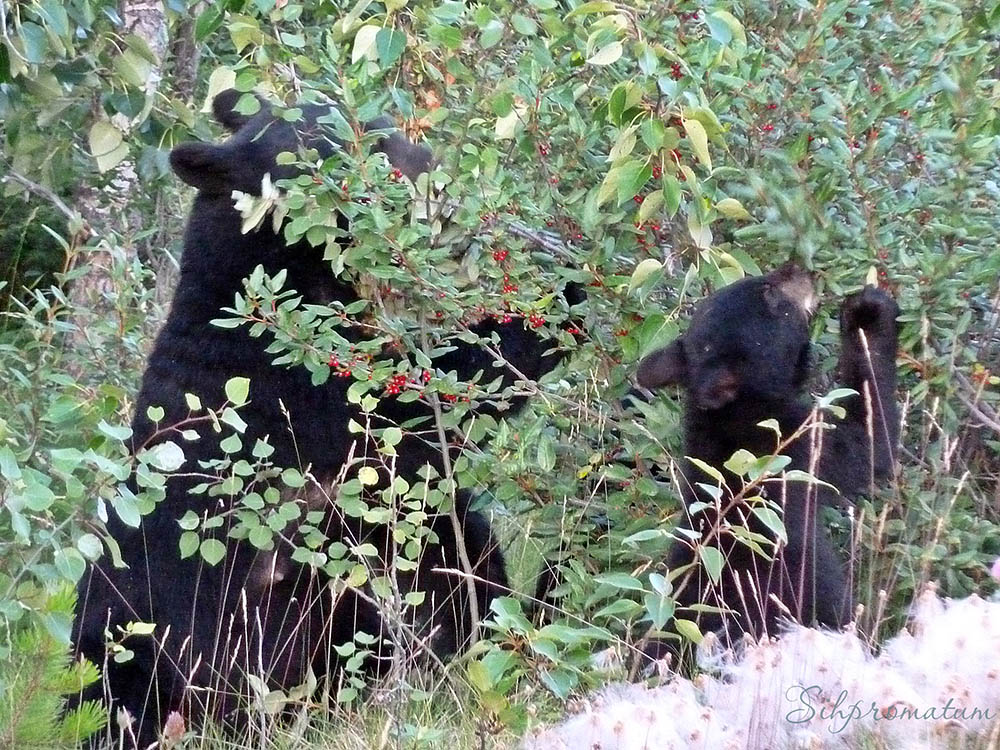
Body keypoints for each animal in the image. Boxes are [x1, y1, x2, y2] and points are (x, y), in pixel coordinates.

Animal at [74, 91, 580, 748]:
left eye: (382, 125)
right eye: (338, 149)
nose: (430, 167)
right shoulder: (305, 384)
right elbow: (438, 396)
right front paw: (563, 286)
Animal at [636, 264, 904, 648]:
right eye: (769, 294)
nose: (797, 267)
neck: (739, 410)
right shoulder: (797, 446)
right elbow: (868, 440)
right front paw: (867, 313)